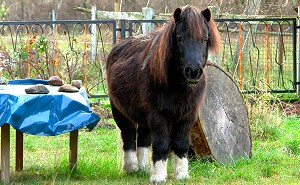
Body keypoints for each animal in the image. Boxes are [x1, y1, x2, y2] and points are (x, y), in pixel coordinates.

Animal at [106, 5, 219, 183]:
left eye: (205, 39)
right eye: (179, 39)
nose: (193, 71)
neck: (177, 87)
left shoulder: (187, 117)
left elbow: (180, 144)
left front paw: (181, 174)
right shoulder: (158, 117)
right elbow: (161, 145)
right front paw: (159, 176)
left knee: (143, 139)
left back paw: (143, 168)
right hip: (119, 112)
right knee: (128, 135)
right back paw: (131, 167)